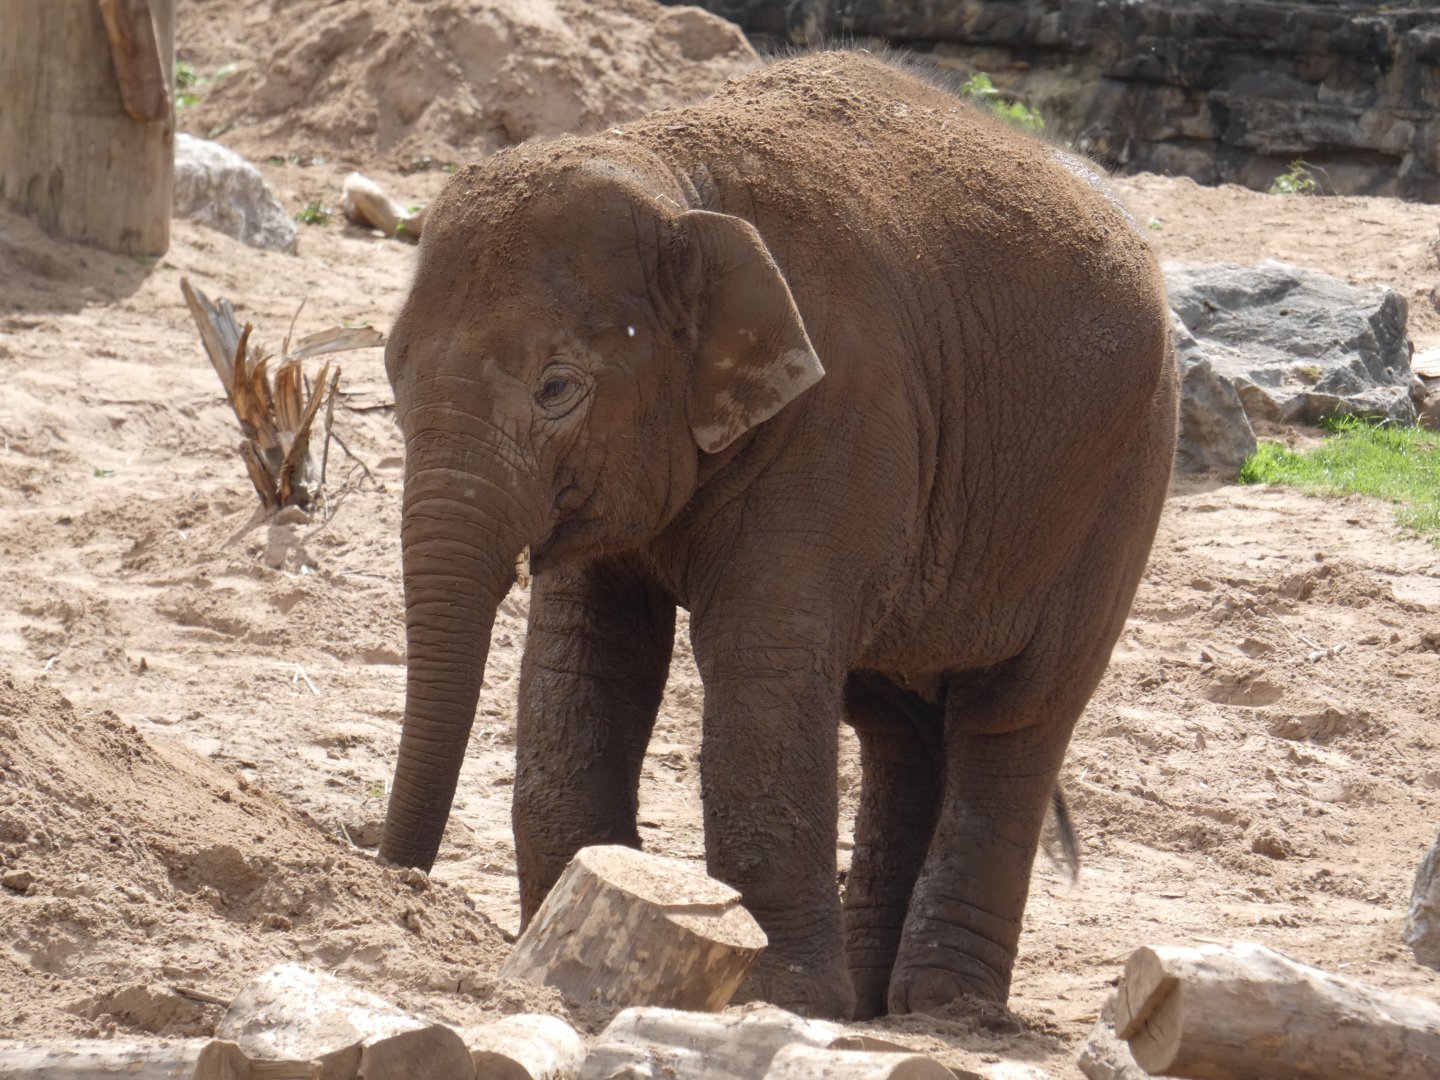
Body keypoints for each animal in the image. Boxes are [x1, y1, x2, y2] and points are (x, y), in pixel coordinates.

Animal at [378, 50, 1177, 1020]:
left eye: (557, 387)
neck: (672, 180)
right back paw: (872, 997)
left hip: (1119, 484)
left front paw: (783, 995)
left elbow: (761, 657)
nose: (399, 883)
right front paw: (559, 925)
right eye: (391, 370)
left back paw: (943, 1005)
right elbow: (587, 656)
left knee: (1015, 716)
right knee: (896, 726)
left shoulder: (842, 412)